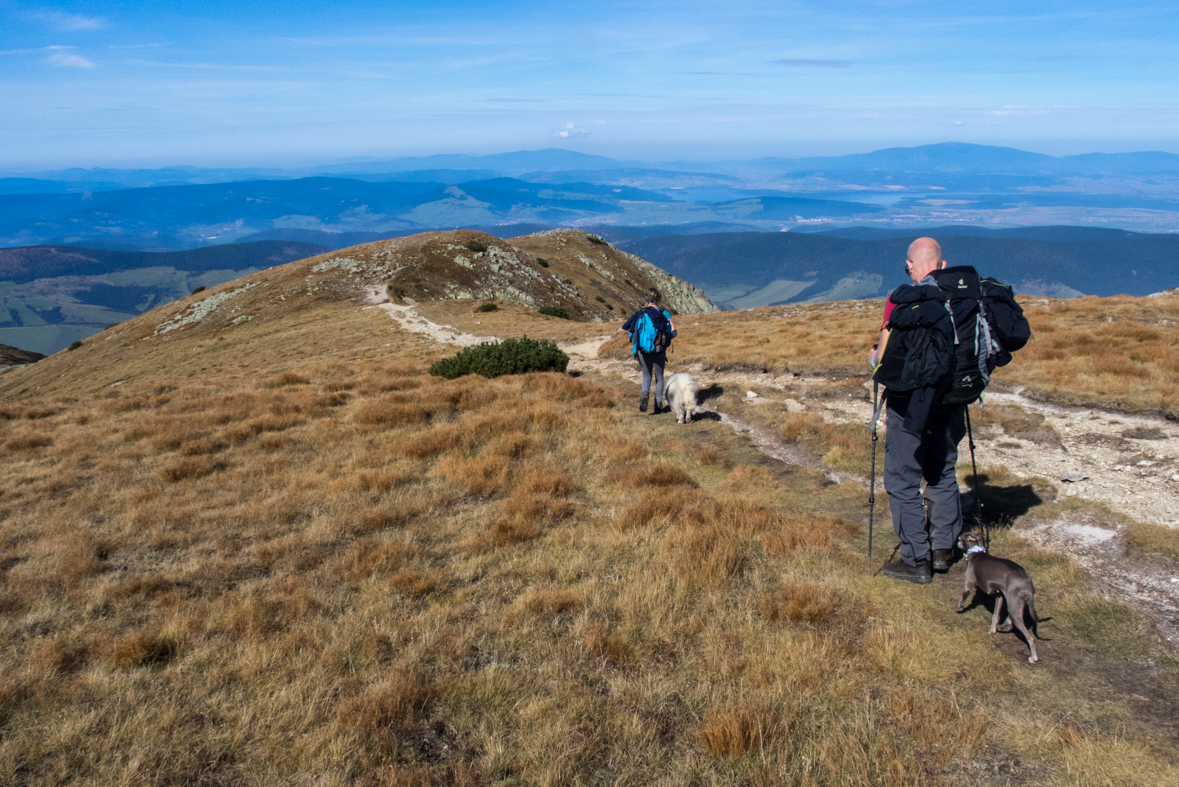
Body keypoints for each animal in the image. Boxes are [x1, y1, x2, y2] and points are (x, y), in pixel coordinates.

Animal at [957, 527, 1042, 664]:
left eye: (960, 538)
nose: (957, 543)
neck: (976, 552)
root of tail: (1027, 582)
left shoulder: (968, 584)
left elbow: (964, 596)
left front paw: (959, 607)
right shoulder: (999, 595)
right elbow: (995, 615)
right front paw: (992, 630)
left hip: (1014, 605)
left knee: (1030, 637)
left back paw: (1033, 657)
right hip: (1016, 604)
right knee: (1010, 619)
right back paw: (1003, 625)